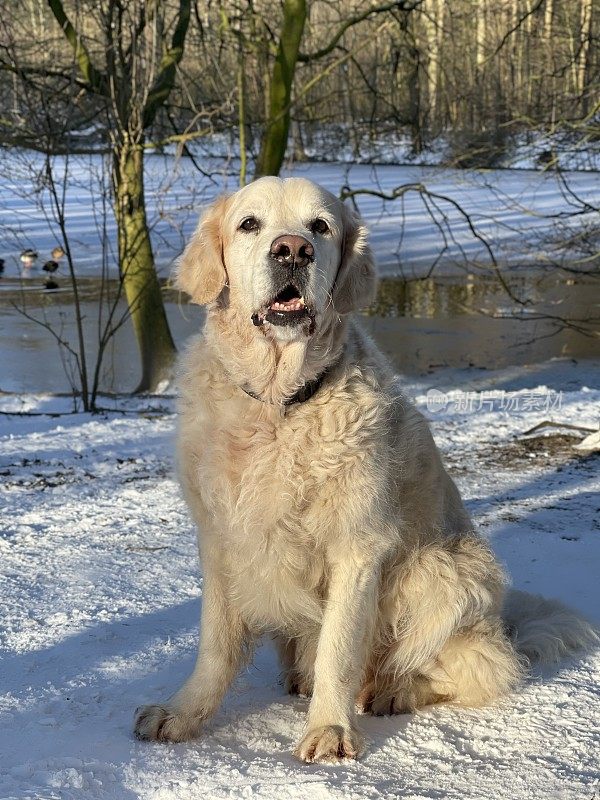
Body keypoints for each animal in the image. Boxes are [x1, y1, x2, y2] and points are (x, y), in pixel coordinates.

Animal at [134, 175, 596, 764]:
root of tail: (505, 627)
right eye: (249, 224)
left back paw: (392, 690)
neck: (280, 405)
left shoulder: (357, 546)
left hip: (439, 569)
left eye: (320, 227)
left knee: (478, 669)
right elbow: (216, 646)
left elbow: (339, 647)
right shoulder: (222, 538)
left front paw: (329, 728)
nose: (293, 251)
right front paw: (183, 713)